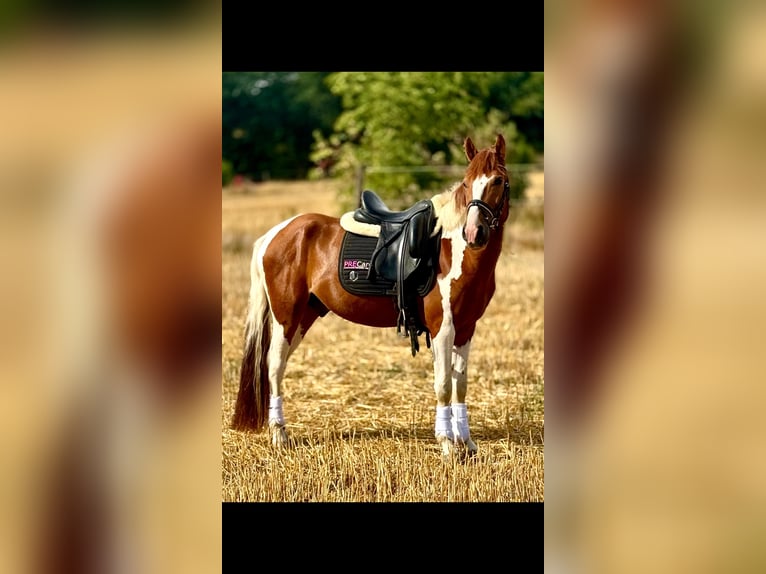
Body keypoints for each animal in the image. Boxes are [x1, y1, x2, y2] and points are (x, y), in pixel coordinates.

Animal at [231, 134, 511, 457]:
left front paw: (466, 443)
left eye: (498, 181)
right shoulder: (443, 328)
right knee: (274, 366)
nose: (474, 233)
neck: (451, 250)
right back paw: (279, 435)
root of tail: (276, 234)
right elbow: (443, 385)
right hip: (285, 318)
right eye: (467, 183)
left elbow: (460, 384)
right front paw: (447, 445)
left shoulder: (465, 329)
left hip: (304, 317)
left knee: (278, 364)